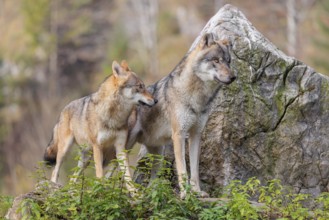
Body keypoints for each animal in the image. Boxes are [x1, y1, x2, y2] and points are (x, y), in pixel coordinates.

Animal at [44, 60, 157, 192]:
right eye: (140, 86)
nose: (156, 100)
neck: (114, 116)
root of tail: (63, 111)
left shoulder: (120, 148)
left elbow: (127, 175)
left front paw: (134, 192)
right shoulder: (98, 147)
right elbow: (99, 173)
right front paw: (100, 189)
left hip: (85, 160)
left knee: (72, 180)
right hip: (65, 150)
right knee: (55, 171)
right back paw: (54, 187)